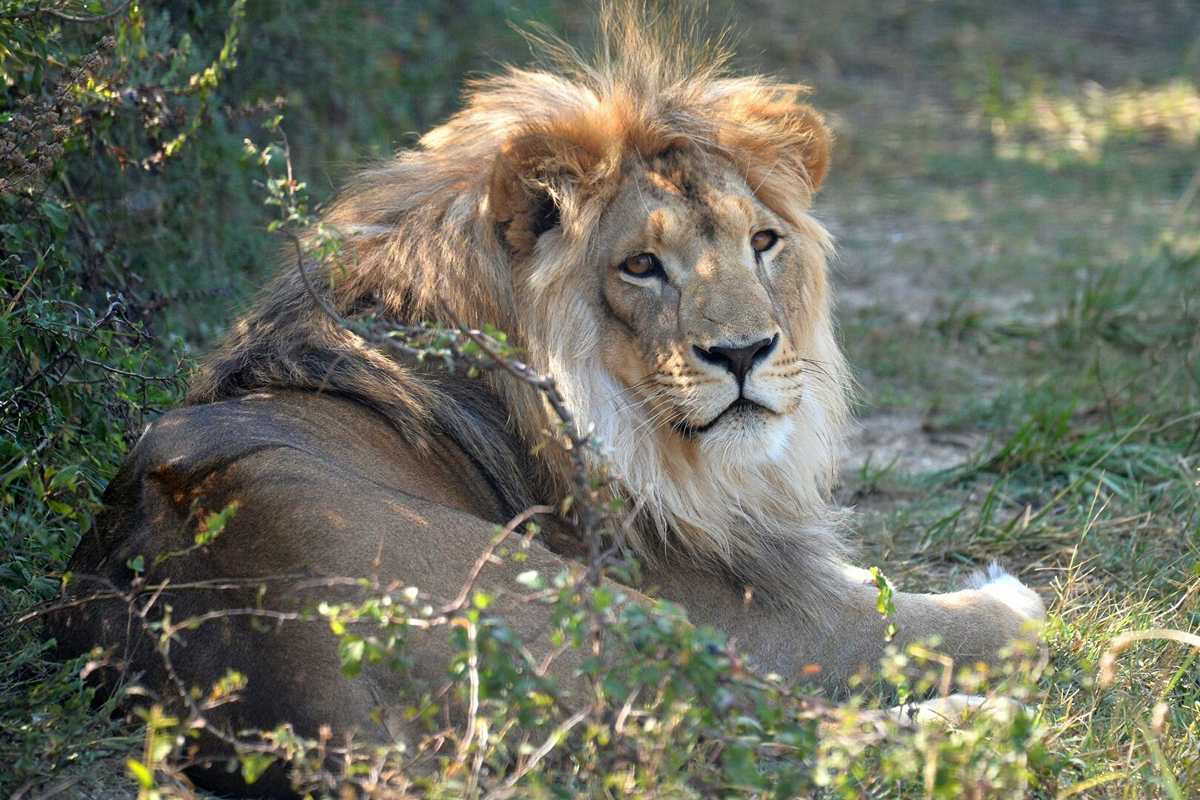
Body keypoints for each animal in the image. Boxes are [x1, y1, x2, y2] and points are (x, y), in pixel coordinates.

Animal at [49, 6, 1041, 796]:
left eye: (763, 242)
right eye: (641, 265)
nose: (745, 352)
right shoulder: (756, 612)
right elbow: (904, 620)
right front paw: (1009, 601)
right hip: (613, 612)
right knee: (775, 732)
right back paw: (978, 719)